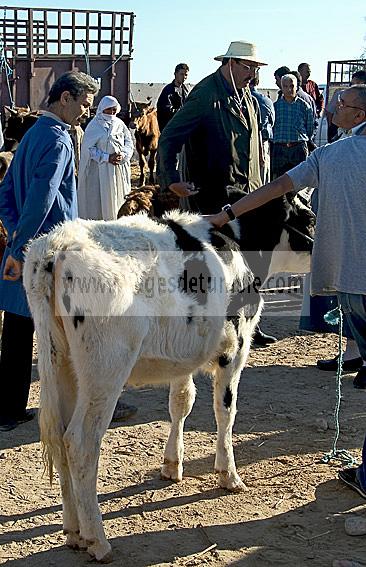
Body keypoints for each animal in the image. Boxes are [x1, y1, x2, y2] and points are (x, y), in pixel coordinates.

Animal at [24, 202, 314, 560]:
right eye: (308, 218)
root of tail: (55, 246)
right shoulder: (236, 346)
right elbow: (225, 411)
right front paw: (228, 474)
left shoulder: (183, 356)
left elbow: (181, 402)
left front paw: (172, 465)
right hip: (105, 370)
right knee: (79, 442)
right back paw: (97, 540)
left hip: (61, 364)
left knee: (59, 437)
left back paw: (74, 532)